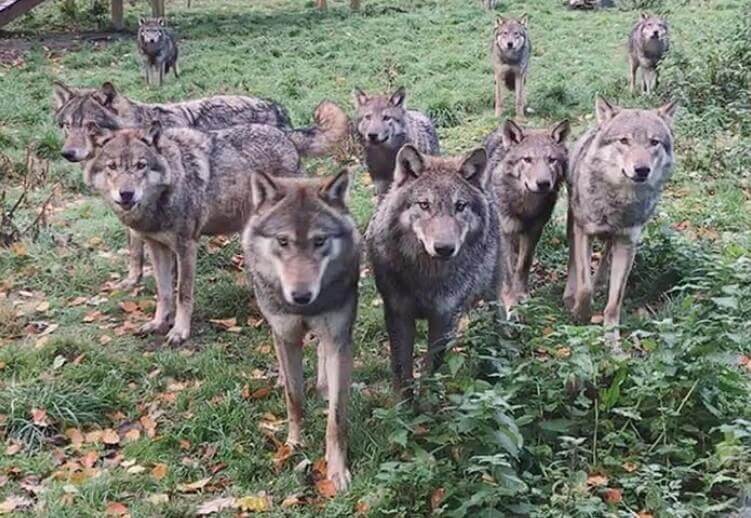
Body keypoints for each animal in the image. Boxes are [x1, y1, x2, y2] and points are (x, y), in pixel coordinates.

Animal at [84, 120, 302, 345]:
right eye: (112, 166)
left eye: (140, 165)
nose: (126, 194)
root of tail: (286, 136)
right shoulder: (156, 246)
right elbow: (164, 292)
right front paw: (158, 323)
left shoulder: (186, 246)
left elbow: (182, 293)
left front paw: (179, 332)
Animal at [242, 170, 360, 492]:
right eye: (283, 241)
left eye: (319, 241)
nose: (301, 296)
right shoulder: (286, 337)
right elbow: (294, 398)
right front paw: (293, 444)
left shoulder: (338, 339)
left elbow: (336, 419)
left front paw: (336, 470)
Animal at [367, 145, 500, 397]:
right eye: (424, 205)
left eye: (460, 206)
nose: (444, 248)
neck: (425, 277)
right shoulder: (398, 314)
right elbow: (401, 369)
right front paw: (402, 405)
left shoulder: (444, 317)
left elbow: (431, 370)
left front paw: (426, 404)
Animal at [484, 119, 570, 315]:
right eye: (527, 159)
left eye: (551, 160)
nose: (543, 183)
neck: (525, 207)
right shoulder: (505, 233)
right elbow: (508, 271)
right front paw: (509, 301)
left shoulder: (534, 231)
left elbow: (523, 264)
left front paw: (522, 295)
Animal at [563, 97, 678, 341]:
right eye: (624, 141)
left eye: (654, 142)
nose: (642, 169)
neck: (619, 201)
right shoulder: (584, 232)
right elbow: (584, 287)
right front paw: (579, 314)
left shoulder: (627, 243)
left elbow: (614, 303)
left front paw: (612, 340)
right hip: (572, 225)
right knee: (574, 262)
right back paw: (570, 294)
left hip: (613, 240)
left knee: (605, 256)